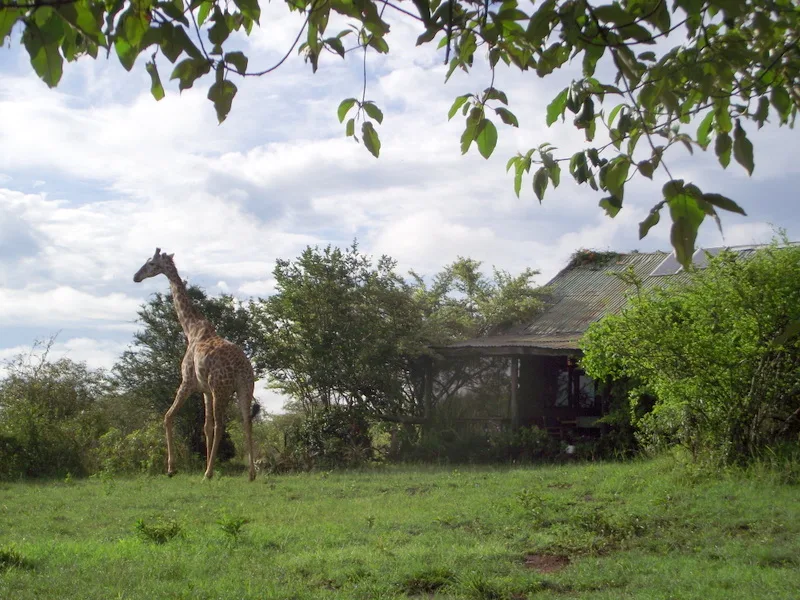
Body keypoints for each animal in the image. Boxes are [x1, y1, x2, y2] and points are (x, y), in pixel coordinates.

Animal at [133, 248, 257, 481]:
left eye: (151, 263)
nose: (136, 277)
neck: (191, 328)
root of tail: (241, 367)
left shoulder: (187, 383)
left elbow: (167, 417)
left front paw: (172, 468)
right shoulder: (205, 391)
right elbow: (205, 427)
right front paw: (207, 464)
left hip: (221, 389)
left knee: (221, 425)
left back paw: (207, 474)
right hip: (244, 388)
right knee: (246, 421)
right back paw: (251, 473)